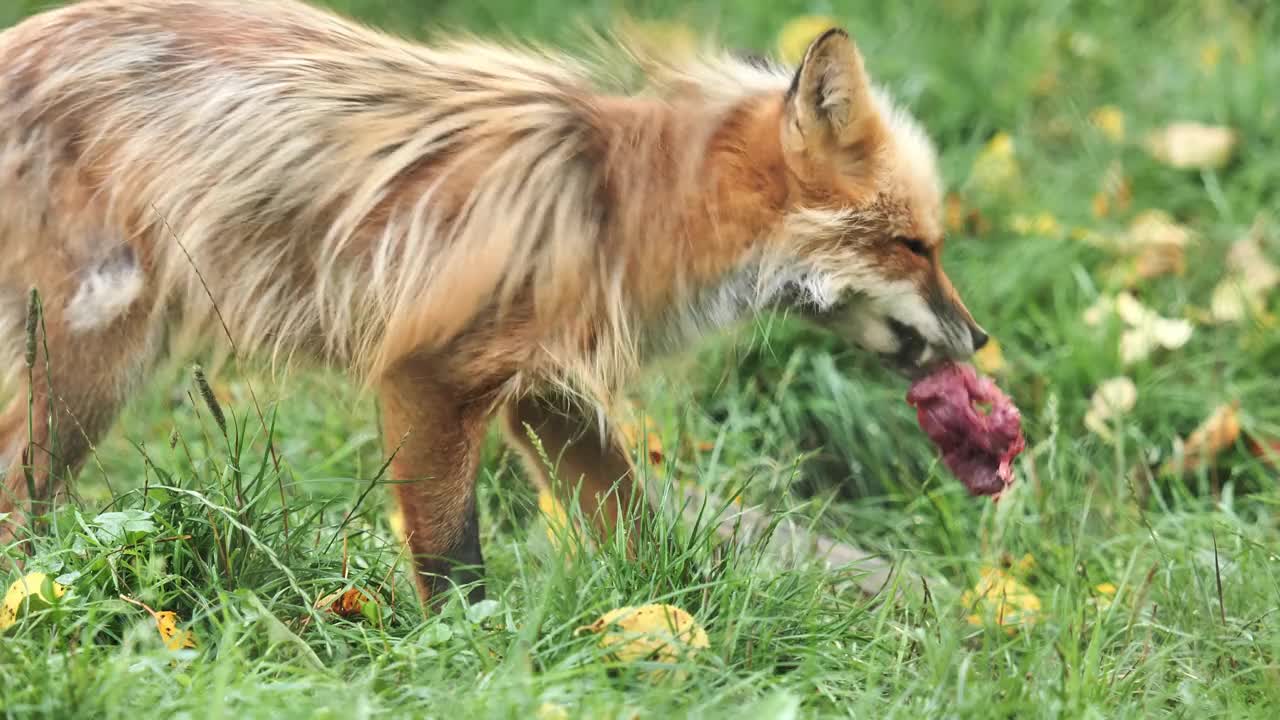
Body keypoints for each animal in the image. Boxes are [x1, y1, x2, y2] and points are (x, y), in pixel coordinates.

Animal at [0, 0, 988, 604]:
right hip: (92, 363)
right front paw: (462, 653)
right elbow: (452, 557)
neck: (618, 209)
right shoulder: (429, 375)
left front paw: (682, 618)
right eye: (916, 245)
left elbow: (632, 523)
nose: (979, 338)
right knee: (19, 504)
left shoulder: (543, 391)